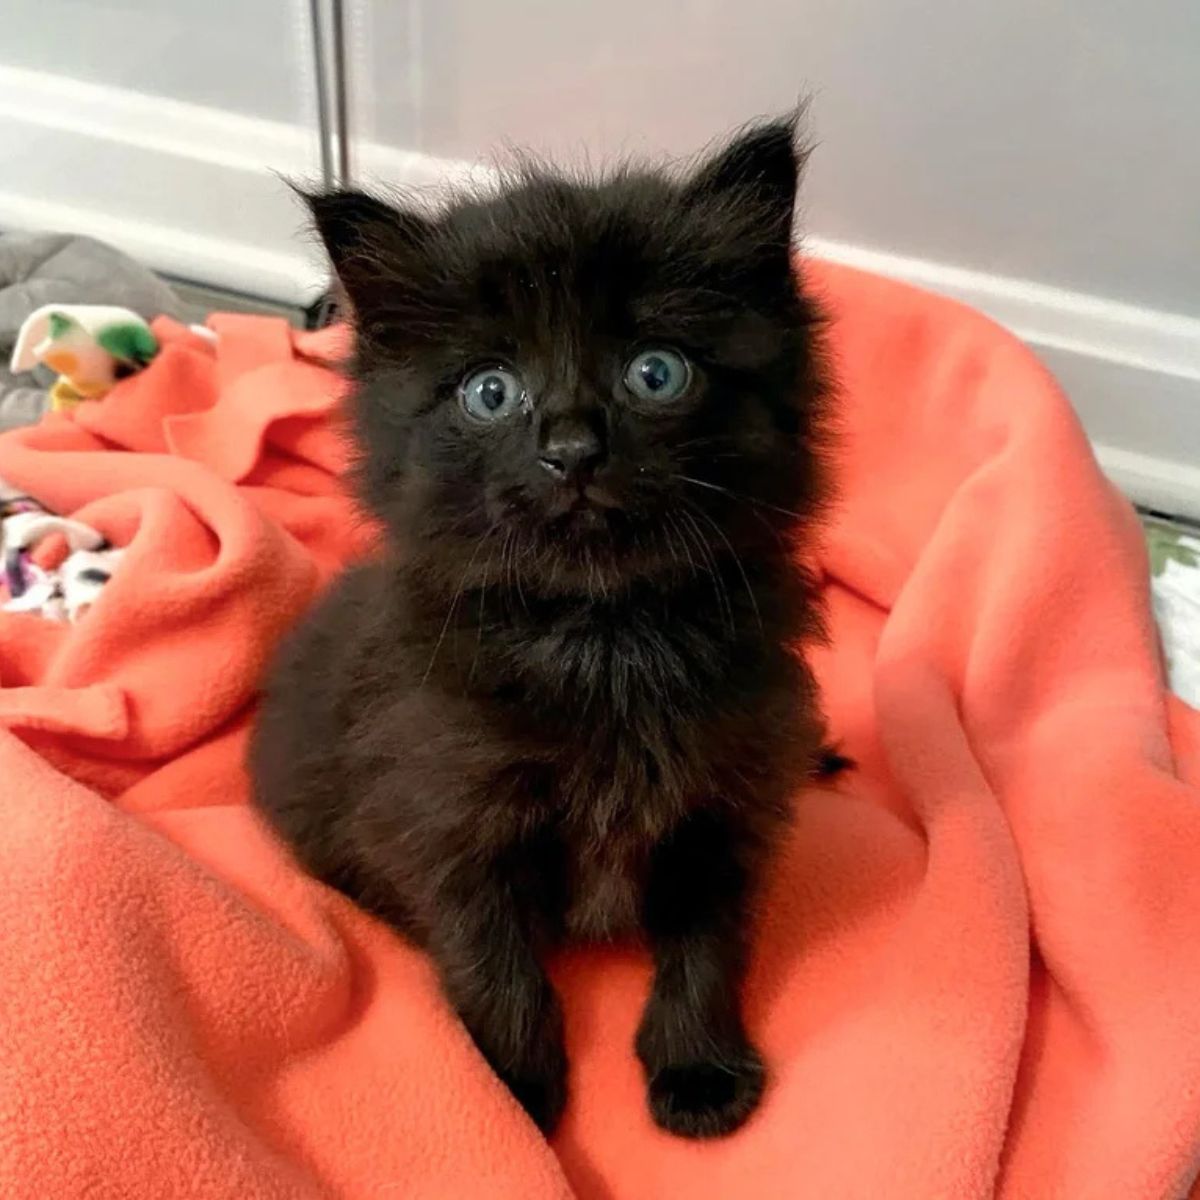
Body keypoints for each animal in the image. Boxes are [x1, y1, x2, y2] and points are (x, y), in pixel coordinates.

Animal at [250, 117, 835, 1137]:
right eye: (490, 391)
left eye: (655, 372)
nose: (571, 448)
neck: (603, 638)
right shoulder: (446, 818)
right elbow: (496, 970)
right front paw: (508, 1102)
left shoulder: (730, 799)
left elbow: (710, 944)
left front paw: (699, 1068)